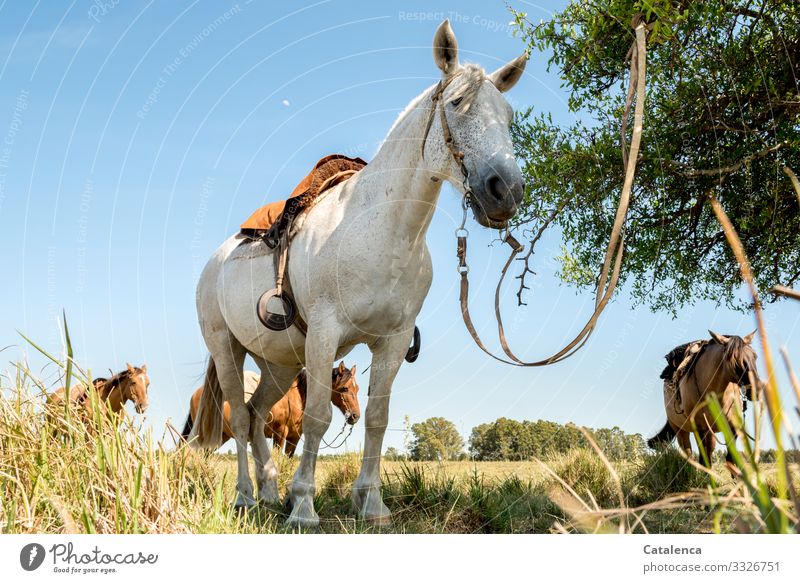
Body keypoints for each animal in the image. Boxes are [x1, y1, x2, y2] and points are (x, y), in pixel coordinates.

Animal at [181, 360, 360, 456]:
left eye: (357, 389)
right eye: (345, 388)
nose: (355, 416)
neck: (298, 397)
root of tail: (197, 393)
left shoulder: (294, 438)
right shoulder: (279, 434)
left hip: (220, 436)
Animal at [648, 330, 760, 472]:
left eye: (755, 356)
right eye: (735, 360)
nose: (757, 390)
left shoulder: (732, 427)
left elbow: (730, 458)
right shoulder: (700, 428)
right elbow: (704, 461)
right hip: (680, 429)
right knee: (689, 454)